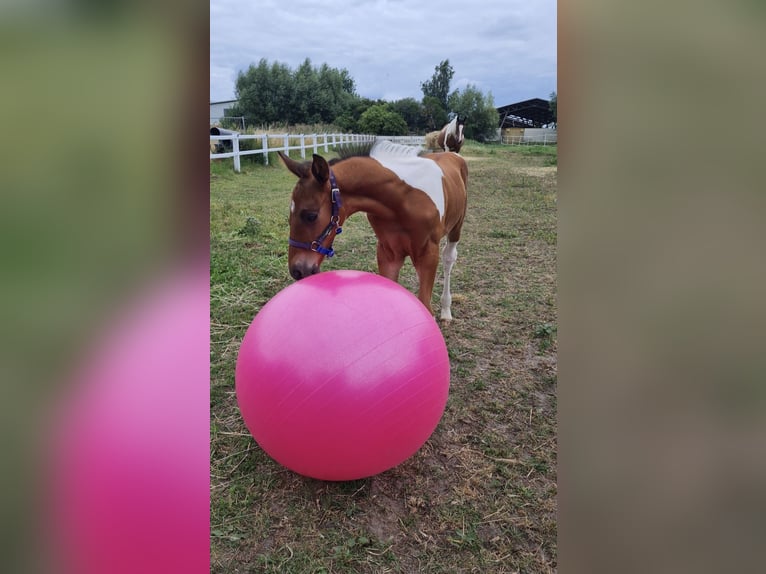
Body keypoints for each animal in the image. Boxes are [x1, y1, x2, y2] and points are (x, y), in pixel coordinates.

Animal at [276, 139, 468, 320]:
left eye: (311, 215)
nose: (297, 270)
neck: (402, 201)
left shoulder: (428, 253)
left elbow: (425, 305)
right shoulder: (388, 253)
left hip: (456, 228)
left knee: (449, 258)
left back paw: (446, 311)